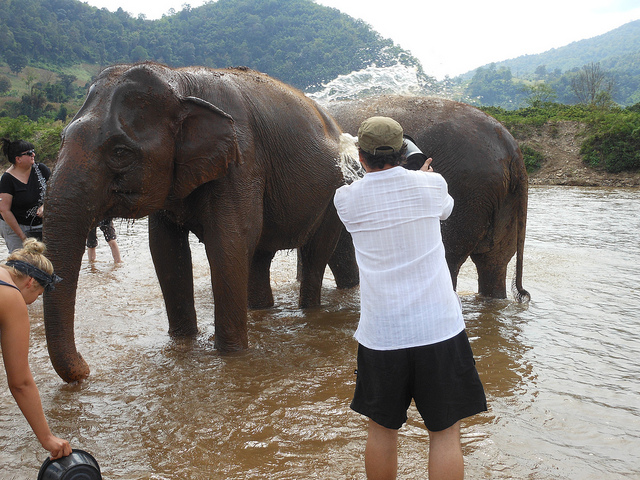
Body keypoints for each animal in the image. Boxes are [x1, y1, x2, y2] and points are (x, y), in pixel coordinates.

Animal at [42, 62, 352, 382]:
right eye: (62, 139)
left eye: (120, 152)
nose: (85, 368)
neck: (179, 81)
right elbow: (165, 250)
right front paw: (182, 343)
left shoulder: (241, 160)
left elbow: (228, 243)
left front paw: (231, 355)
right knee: (260, 255)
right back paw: (262, 311)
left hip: (335, 190)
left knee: (315, 254)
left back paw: (309, 312)